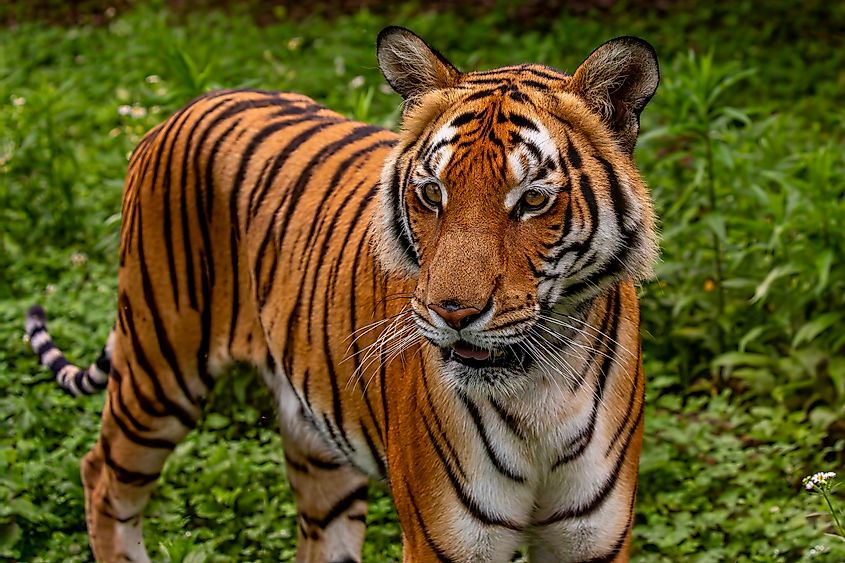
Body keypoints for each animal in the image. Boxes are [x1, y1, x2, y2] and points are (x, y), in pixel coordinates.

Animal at [25, 26, 659, 563]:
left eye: (532, 200)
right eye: (432, 194)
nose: (451, 314)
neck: (539, 390)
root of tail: (183, 107)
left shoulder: (593, 538)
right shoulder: (446, 540)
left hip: (317, 449)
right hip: (159, 364)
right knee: (101, 475)